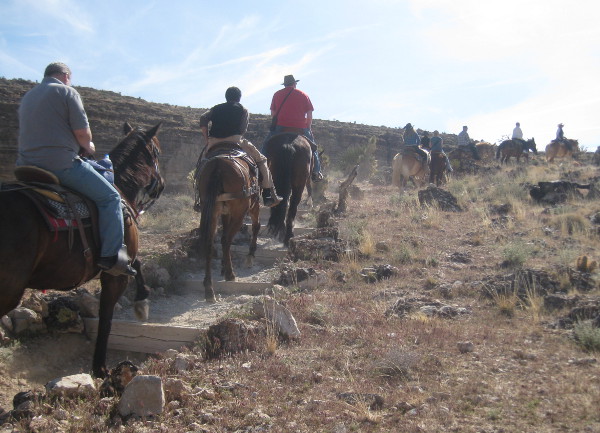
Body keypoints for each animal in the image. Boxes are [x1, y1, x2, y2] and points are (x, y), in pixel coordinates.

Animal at [0, 120, 164, 374]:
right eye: (157, 152)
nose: (162, 185)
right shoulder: (114, 273)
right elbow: (106, 317)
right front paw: (100, 368)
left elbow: (136, 263)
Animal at [192, 142, 258, 300]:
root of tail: (218, 165)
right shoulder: (253, 205)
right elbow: (256, 226)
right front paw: (250, 254)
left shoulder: (224, 213)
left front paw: (222, 265)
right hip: (240, 212)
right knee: (227, 240)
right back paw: (230, 274)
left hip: (212, 212)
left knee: (210, 244)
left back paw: (209, 288)